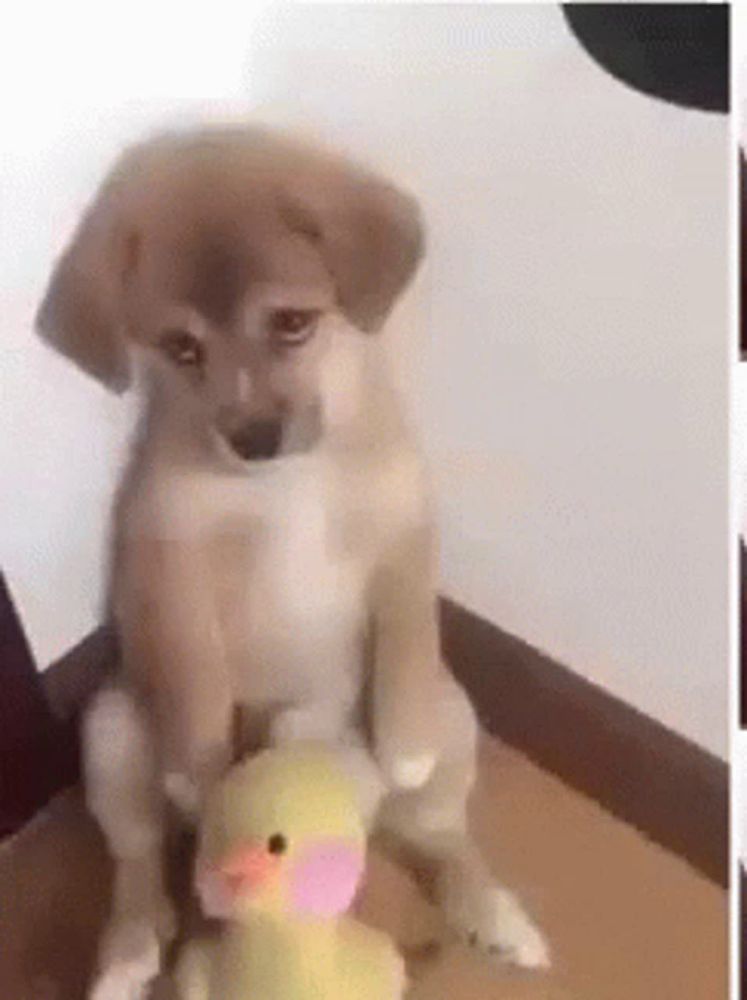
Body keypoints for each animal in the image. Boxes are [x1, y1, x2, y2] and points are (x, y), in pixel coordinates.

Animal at [36, 129, 548, 996]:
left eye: (292, 323)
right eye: (181, 347)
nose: (253, 438)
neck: (288, 485)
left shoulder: (403, 532)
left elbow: (408, 628)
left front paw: (401, 741)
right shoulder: (171, 561)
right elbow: (197, 677)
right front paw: (203, 769)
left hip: (457, 718)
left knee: (438, 836)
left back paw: (493, 915)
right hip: (108, 733)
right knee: (139, 867)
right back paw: (129, 955)